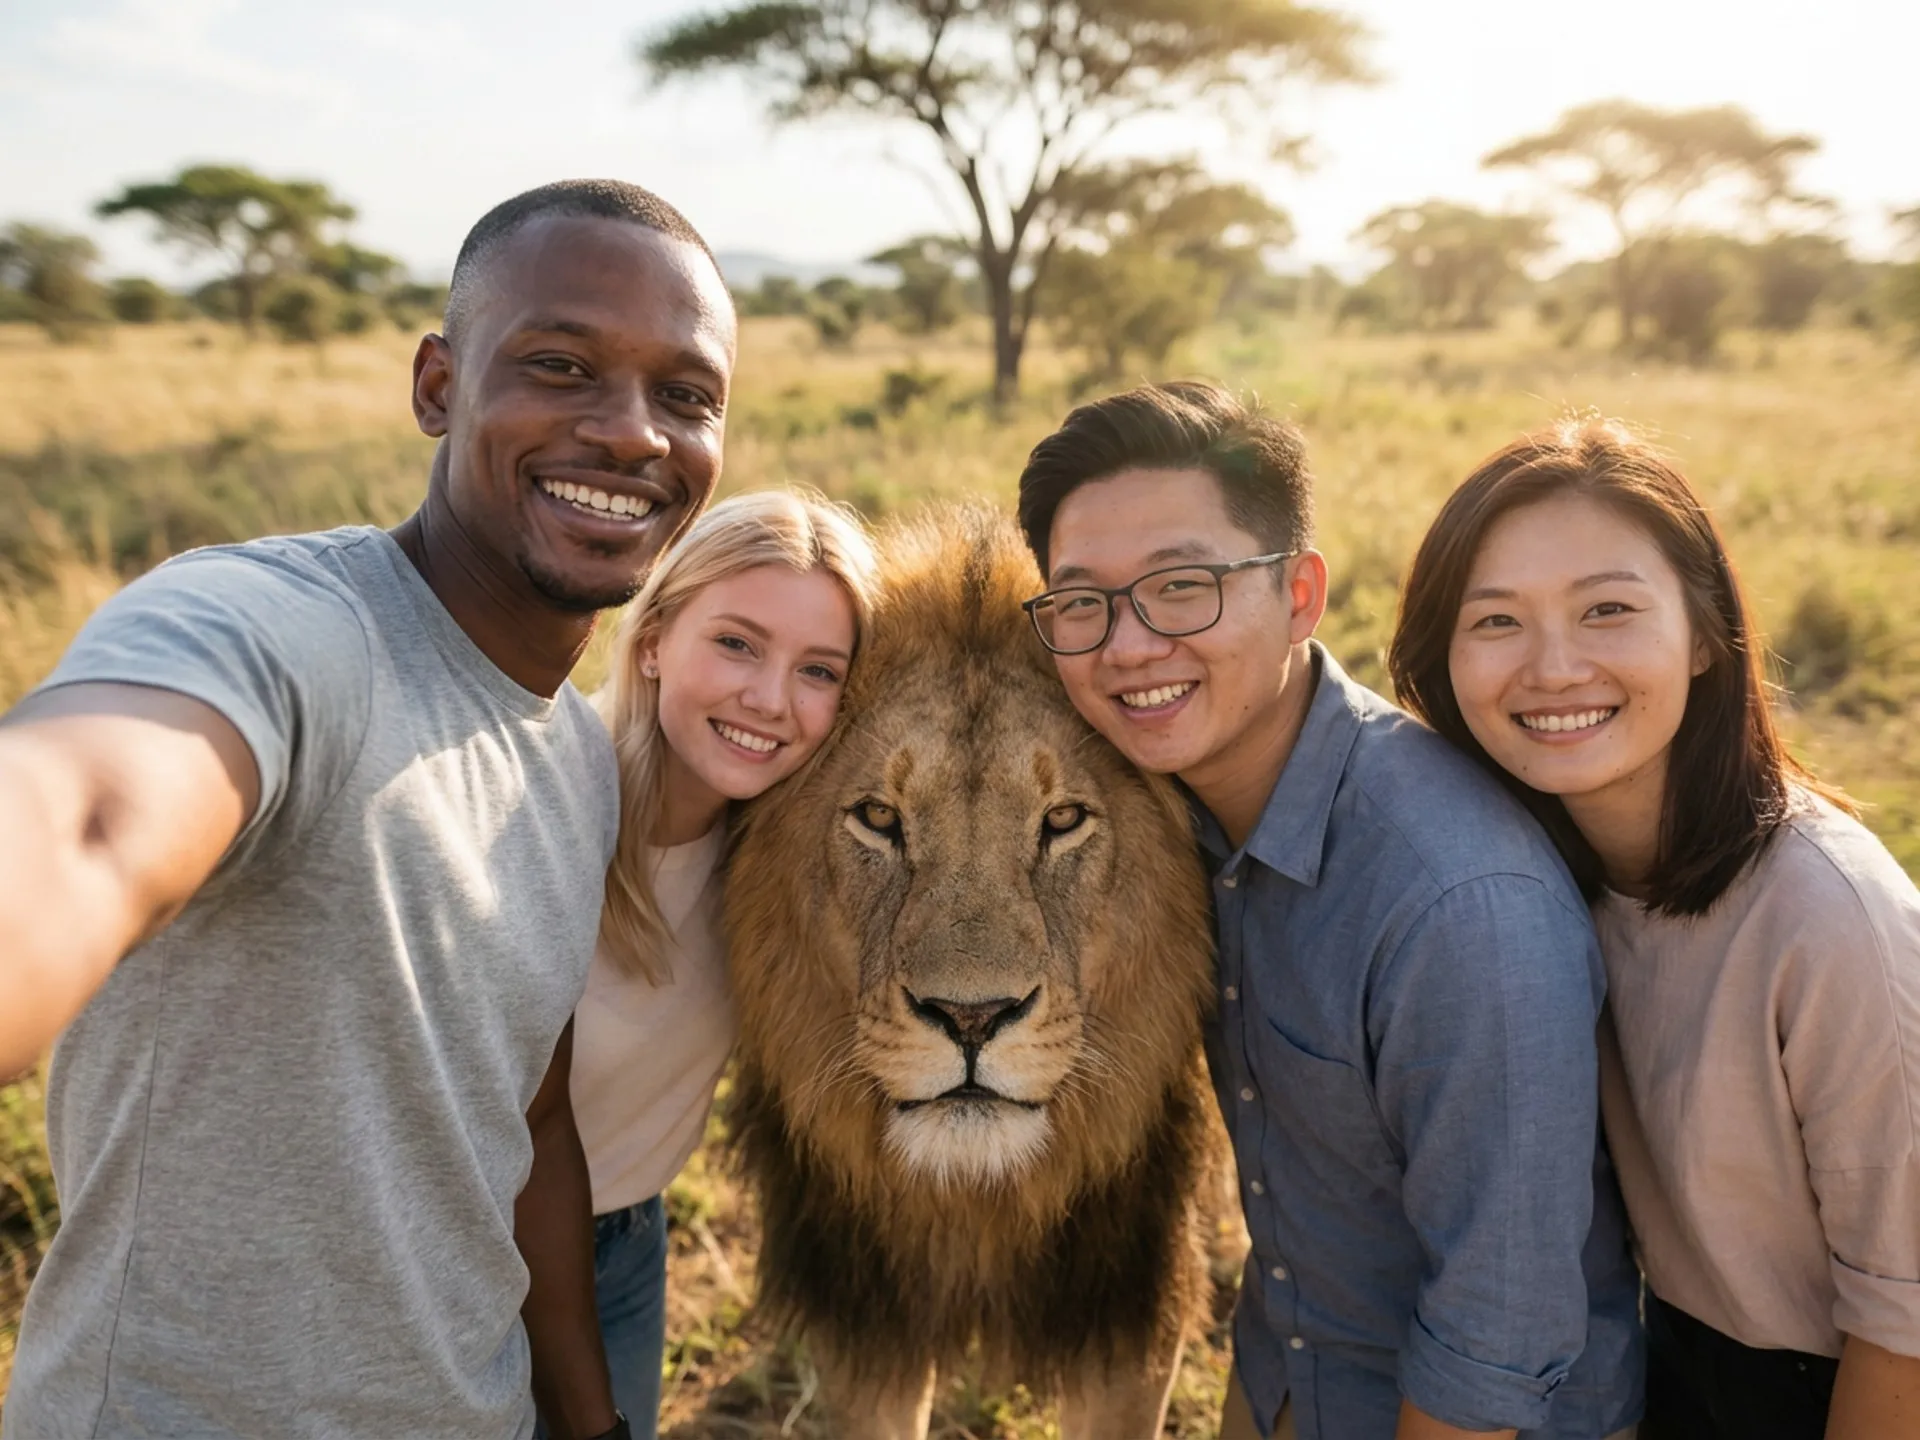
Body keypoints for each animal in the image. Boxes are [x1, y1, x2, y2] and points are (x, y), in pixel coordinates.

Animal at [724, 506, 1225, 1440]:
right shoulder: (869, 1323)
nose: (970, 1017)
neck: (974, 1202)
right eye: (878, 818)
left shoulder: (1129, 1312)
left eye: (1062, 820)